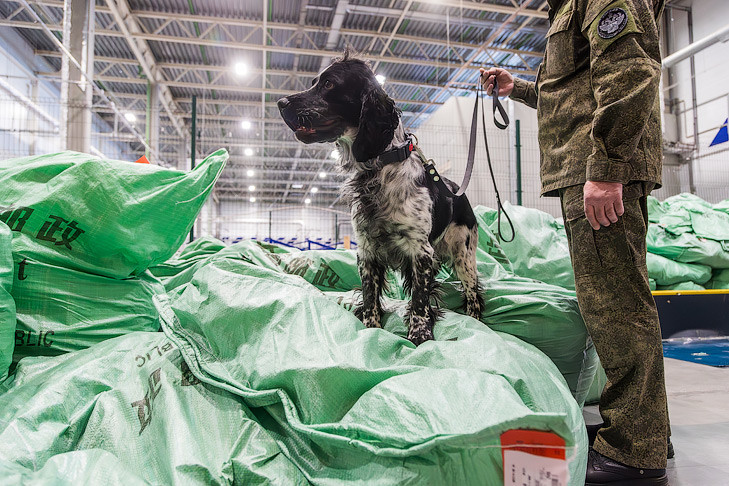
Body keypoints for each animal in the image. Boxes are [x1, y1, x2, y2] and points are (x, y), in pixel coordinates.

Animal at [276, 50, 480, 346]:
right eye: (314, 82)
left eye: (328, 84)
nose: (280, 103)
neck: (379, 168)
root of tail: (458, 191)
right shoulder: (367, 250)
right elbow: (371, 295)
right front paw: (371, 329)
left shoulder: (421, 251)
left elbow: (420, 300)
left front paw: (419, 335)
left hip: (464, 254)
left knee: (474, 293)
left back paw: (477, 323)